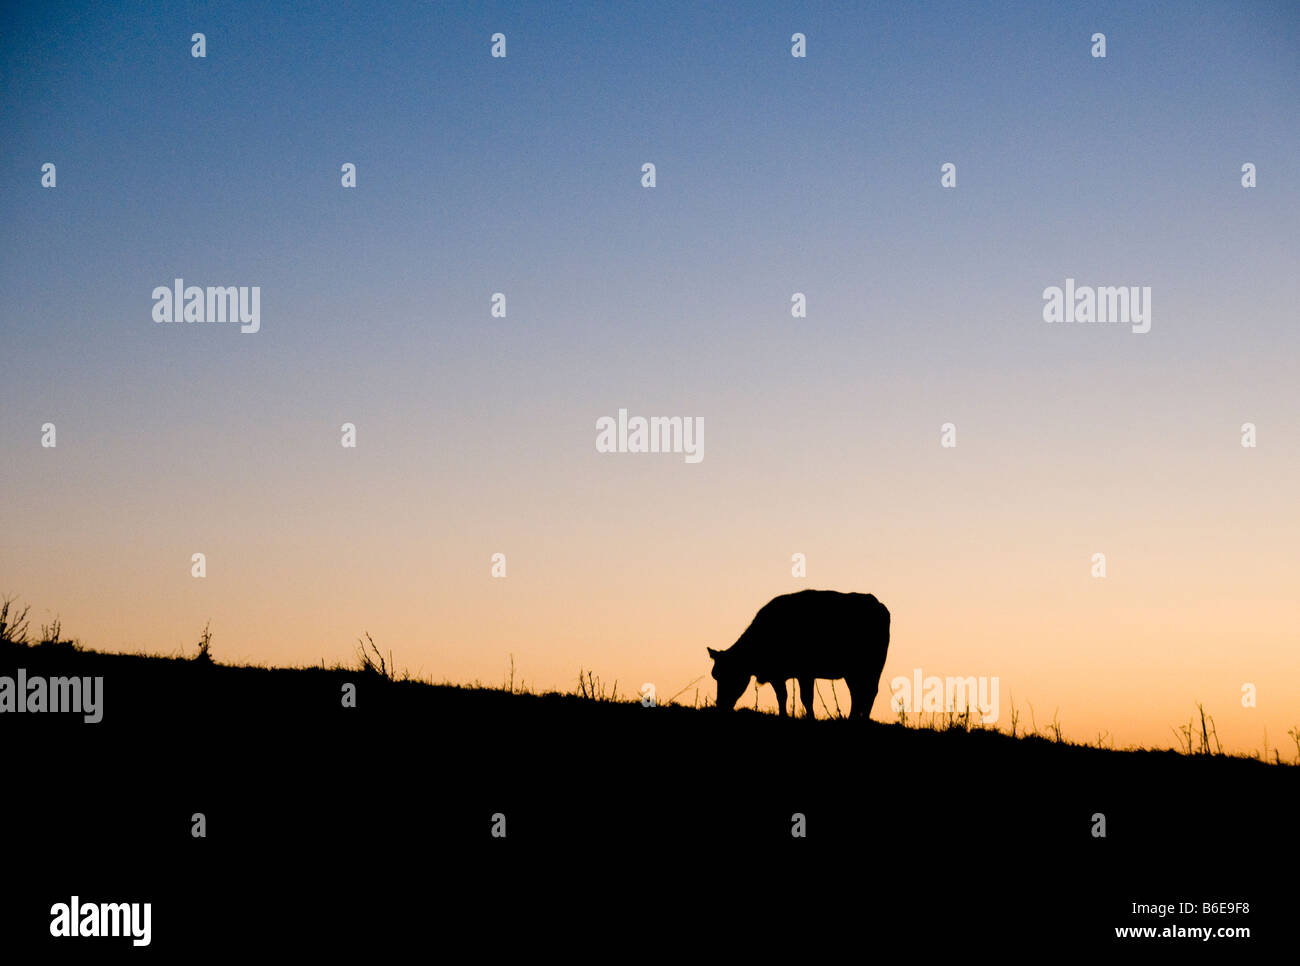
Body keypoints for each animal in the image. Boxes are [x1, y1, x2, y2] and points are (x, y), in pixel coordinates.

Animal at [707, 590, 890, 719]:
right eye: (715, 675)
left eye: (730, 674)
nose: (720, 705)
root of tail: (878, 604)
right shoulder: (777, 676)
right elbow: (782, 696)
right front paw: (783, 715)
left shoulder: (805, 673)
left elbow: (806, 698)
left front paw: (811, 718)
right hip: (853, 672)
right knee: (858, 693)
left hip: (873, 667)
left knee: (869, 691)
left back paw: (862, 719)